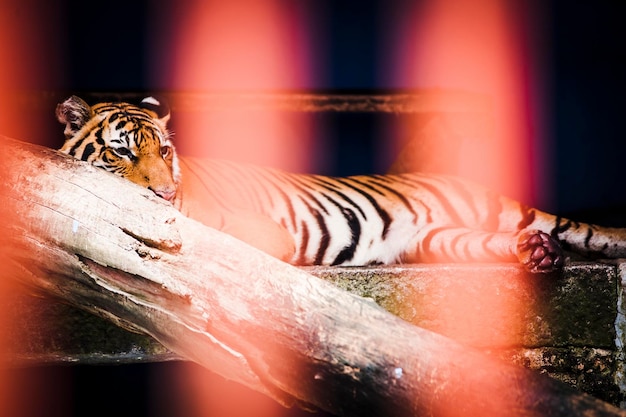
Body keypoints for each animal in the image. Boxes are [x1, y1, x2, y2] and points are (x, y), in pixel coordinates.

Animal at [54, 94, 626, 272]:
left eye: (165, 152)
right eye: (123, 151)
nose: (166, 193)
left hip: (509, 210)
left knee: (590, 231)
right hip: (438, 239)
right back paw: (536, 253)